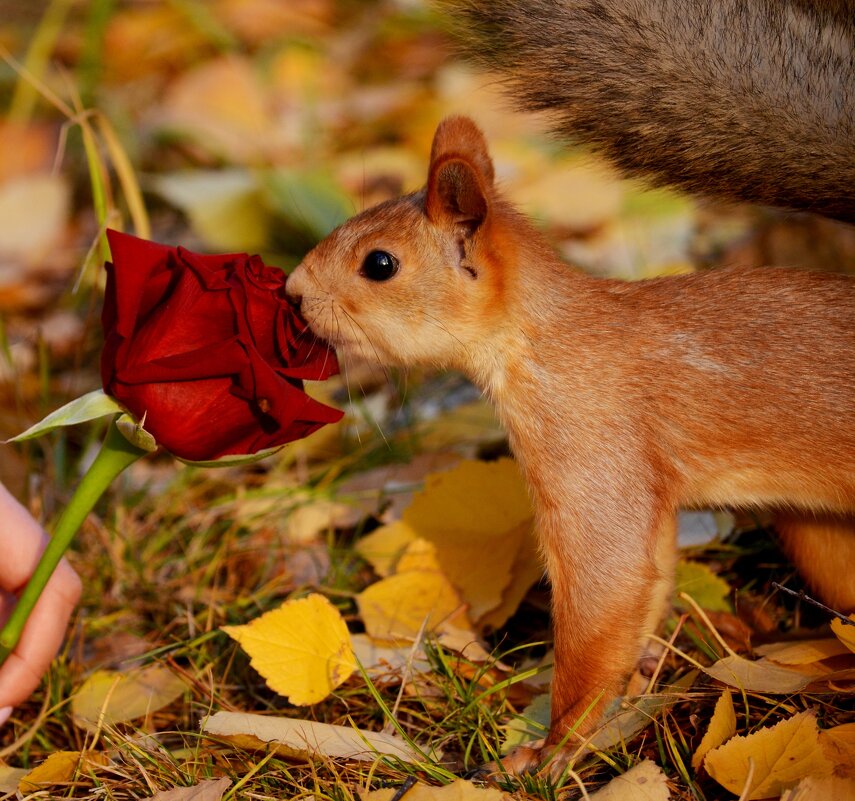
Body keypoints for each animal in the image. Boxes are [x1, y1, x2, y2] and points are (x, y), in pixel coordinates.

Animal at [286, 0, 855, 776]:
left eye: (379, 264)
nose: (291, 293)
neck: (544, 340)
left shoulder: (592, 452)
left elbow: (604, 591)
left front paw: (551, 749)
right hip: (819, 532)